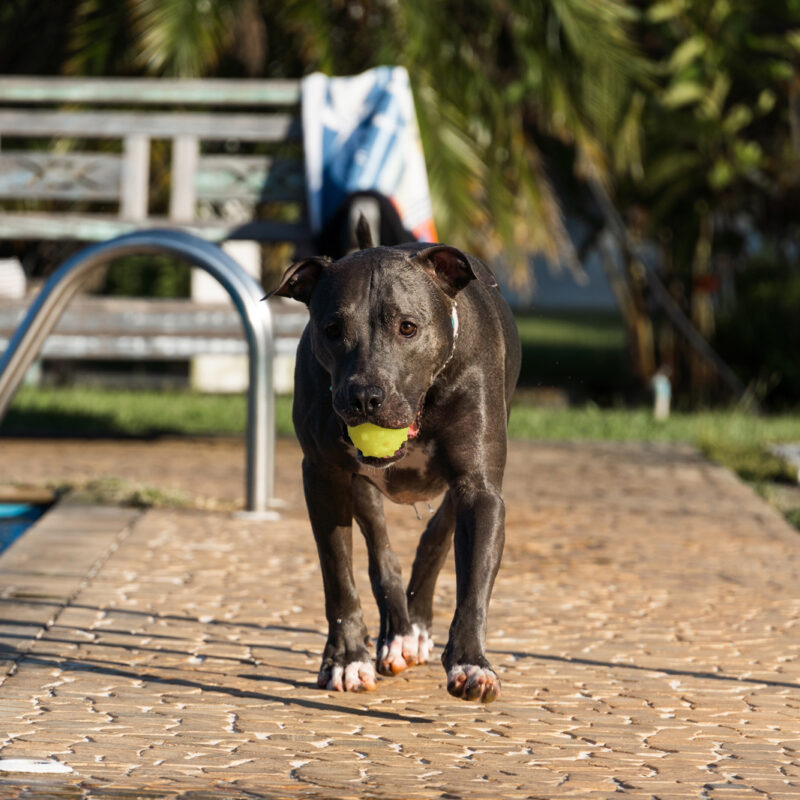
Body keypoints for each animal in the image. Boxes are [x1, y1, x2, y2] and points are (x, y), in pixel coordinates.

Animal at [268, 227, 520, 700]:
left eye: (408, 327)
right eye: (332, 329)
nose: (365, 397)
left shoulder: (479, 486)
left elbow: (473, 579)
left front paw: (472, 663)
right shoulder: (324, 476)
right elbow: (338, 575)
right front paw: (346, 659)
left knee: (437, 534)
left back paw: (416, 626)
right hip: (360, 486)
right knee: (382, 554)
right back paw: (398, 634)